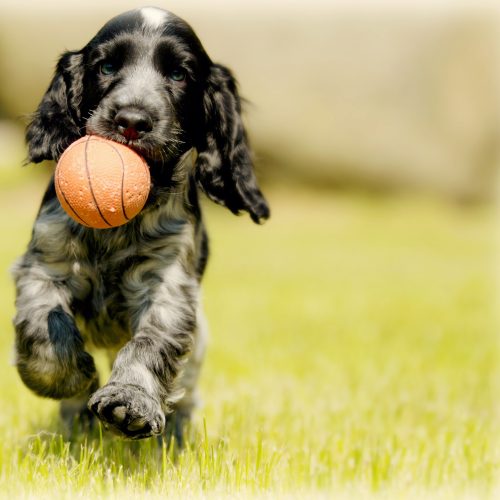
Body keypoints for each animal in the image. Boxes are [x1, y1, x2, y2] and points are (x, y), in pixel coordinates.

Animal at [11, 5, 270, 440]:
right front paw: (67, 378)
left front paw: (130, 401)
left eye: (179, 74)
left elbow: (151, 342)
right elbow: (43, 321)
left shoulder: (167, 282)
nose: (132, 120)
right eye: (106, 66)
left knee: (186, 386)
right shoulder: (46, 261)